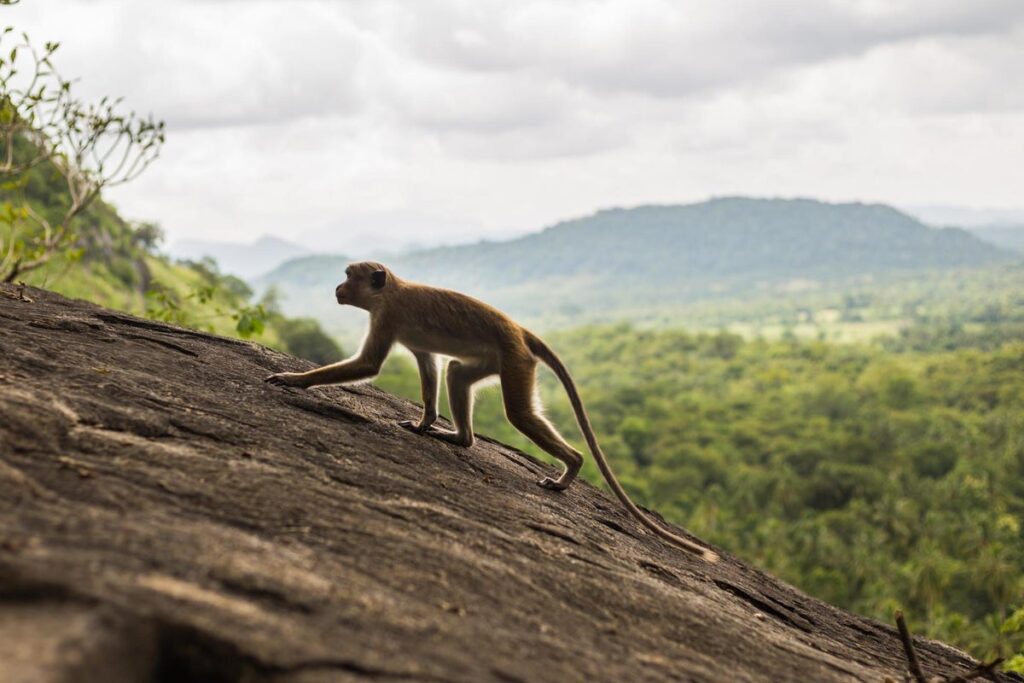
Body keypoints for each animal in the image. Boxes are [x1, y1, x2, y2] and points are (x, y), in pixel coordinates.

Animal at [265, 261, 718, 562]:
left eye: (349, 275)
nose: (337, 287)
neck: (389, 292)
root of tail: (520, 330)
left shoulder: (387, 316)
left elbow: (370, 365)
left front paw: (293, 379)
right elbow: (429, 366)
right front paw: (424, 422)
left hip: (515, 360)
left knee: (518, 413)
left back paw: (570, 468)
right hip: (497, 358)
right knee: (457, 374)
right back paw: (461, 438)